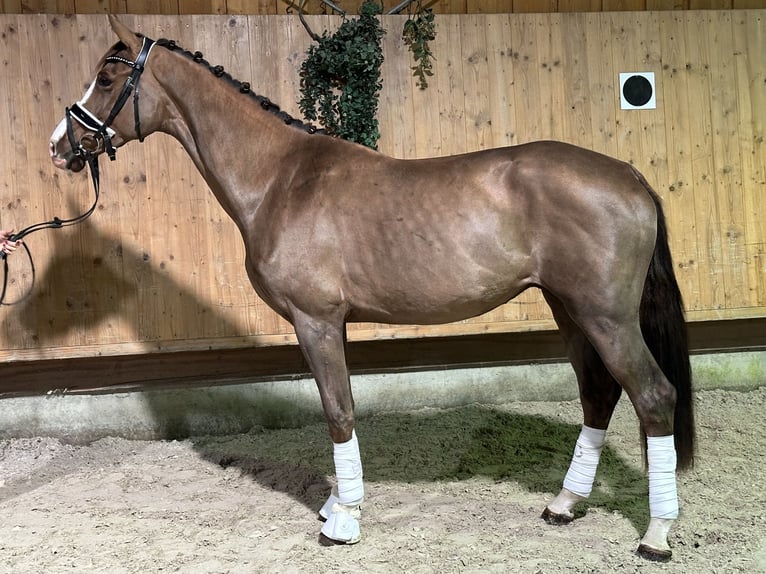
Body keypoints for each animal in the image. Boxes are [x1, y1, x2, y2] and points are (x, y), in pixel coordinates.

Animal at [48, 15, 696, 564]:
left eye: (107, 77)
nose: (60, 146)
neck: (281, 178)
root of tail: (628, 175)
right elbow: (340, 408)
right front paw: (338, 505)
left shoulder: (315, 319)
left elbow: (338, 410)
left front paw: (343, 521)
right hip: (571, 310)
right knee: (599, 394)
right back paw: (564, 505)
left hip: (607, 316)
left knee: (653, 396)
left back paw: (657, 535)